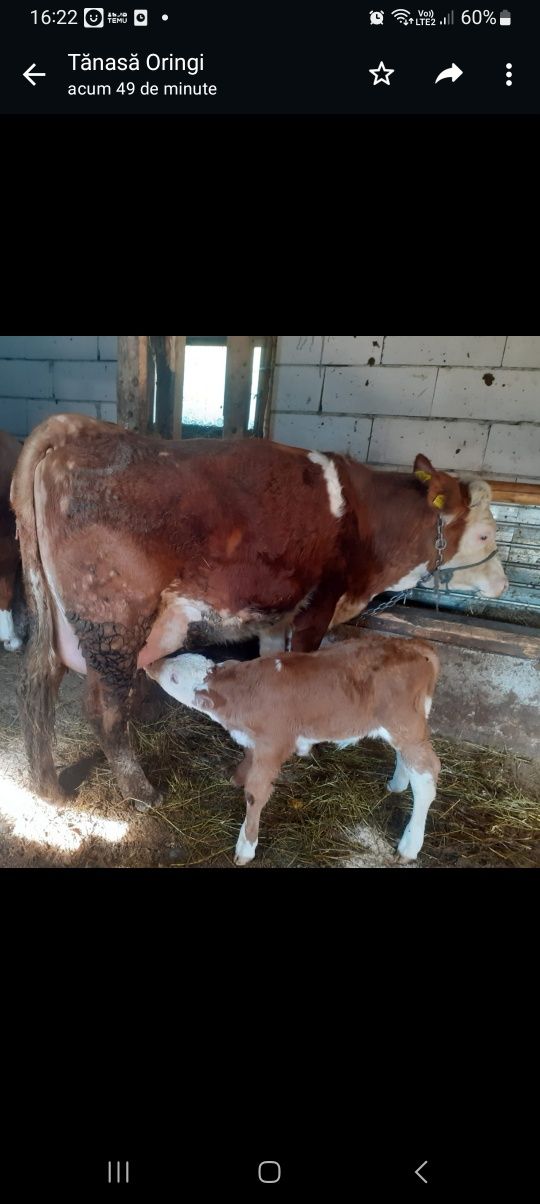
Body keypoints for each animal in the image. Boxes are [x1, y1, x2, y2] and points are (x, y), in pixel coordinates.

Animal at [11, 409, 505, 813]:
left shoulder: (276, 614)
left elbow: (273, 663)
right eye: (485, 534)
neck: (366, 519)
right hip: (112, 616)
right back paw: (141, 792)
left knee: (38, 683)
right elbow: (305, 661)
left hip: (58, 615)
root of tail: (80, 432)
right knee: (104, 709)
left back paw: (48, 787)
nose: (502, 584)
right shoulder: (318, 603)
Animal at [145, 635, 440, 862]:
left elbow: (255, 794)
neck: (244, 693)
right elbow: (247, 760)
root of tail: (417, 645)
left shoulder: (272, 745)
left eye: (173, 678)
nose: (149, 664)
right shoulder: (254, 742)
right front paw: (237, 776)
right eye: (176, 656)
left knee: (426, 777)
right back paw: (397, 785)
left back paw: (409, 846)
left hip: (404, 723)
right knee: (406, 759)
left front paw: (246, 847)